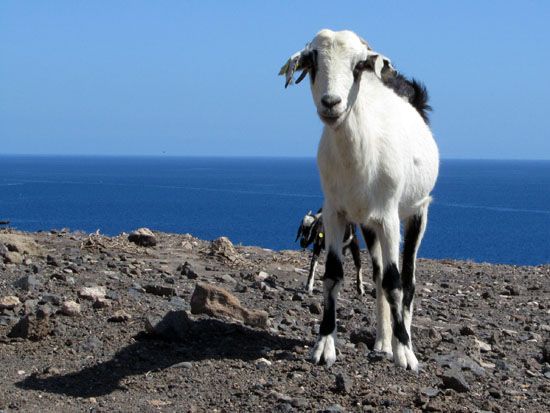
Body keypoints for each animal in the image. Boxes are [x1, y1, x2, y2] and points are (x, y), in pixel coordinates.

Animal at [280, 29, 440, 370]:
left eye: (357, 66)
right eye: (312, 62)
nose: (331, 103)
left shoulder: (390, 217)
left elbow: (395, 283)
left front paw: (406, 353)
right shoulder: (335, 213)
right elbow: (332, 276)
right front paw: (324, 346)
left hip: (417, 212)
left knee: (406, 279)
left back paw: (402, 339)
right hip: (369, 224)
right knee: (379, 277)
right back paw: (382, 342)